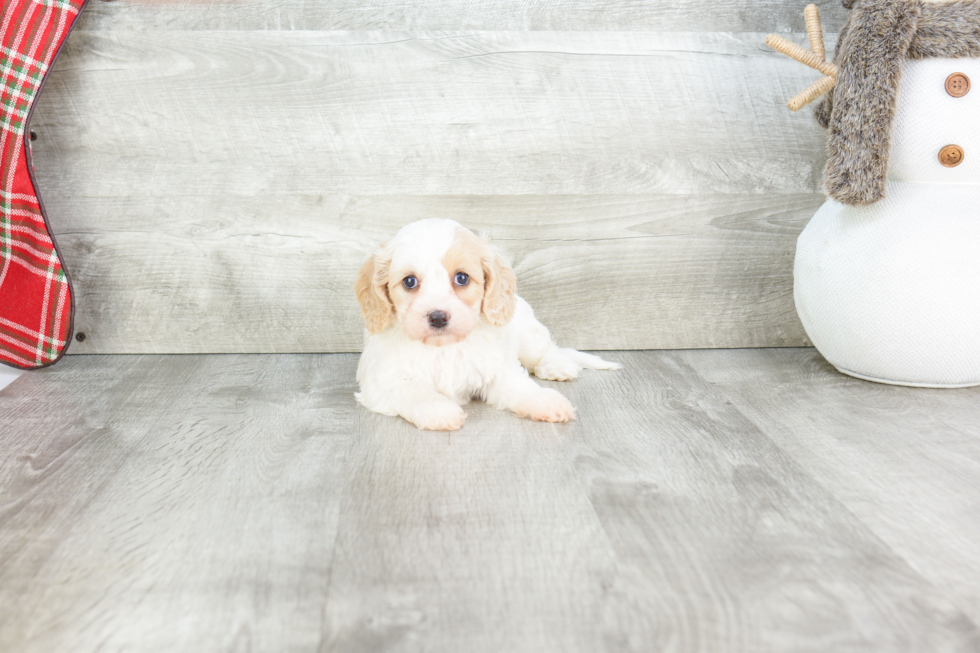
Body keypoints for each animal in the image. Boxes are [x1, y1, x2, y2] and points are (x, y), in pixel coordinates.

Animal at [356, 220, 620, 432]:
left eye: (462, 278)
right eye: (409, 282)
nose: (438, 317)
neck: (444, 347)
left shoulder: (496, 371)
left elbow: (520, 386)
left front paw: (545, 401)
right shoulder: (383, 380)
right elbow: (414, 391)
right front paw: (439, 410)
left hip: (527, 332)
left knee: (544, 349)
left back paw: (557, 365)